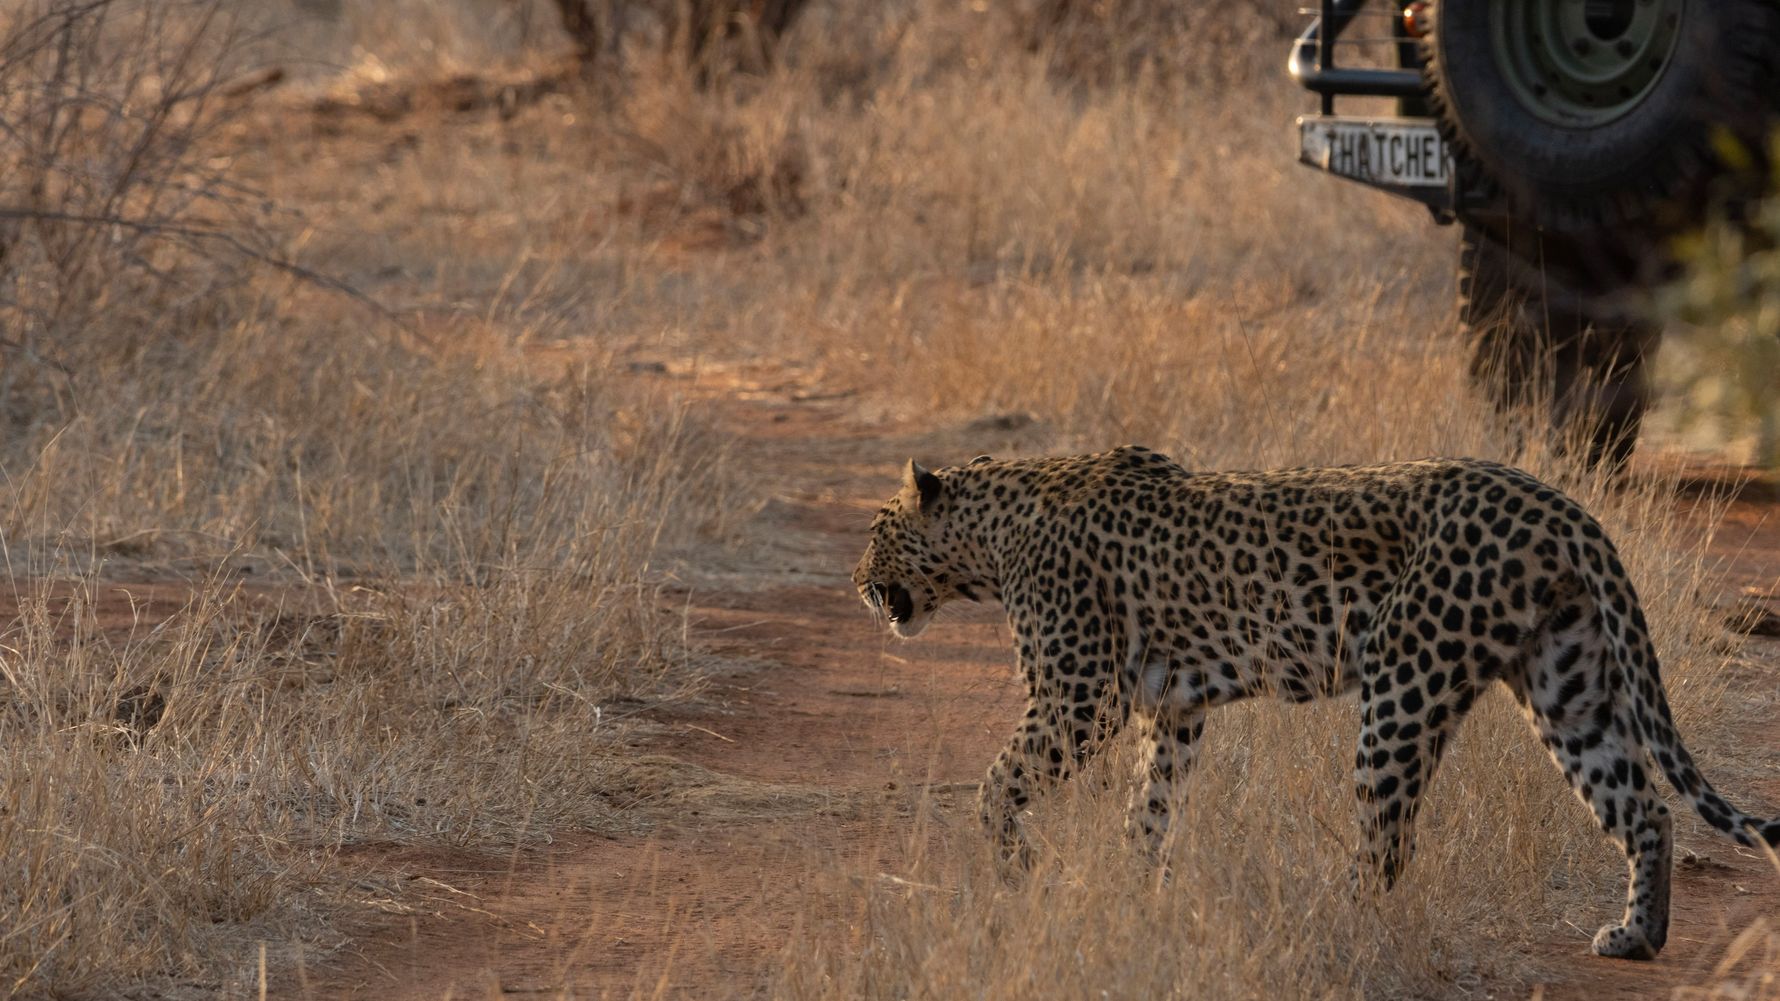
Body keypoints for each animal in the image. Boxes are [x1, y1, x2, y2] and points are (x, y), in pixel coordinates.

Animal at [851, 445, 1780, 960]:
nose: (857, 582)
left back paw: (1331, 919)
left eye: (873, 530)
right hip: (1565, 680)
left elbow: (996, 783)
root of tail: (1560, 506)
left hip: (1405, 679)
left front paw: (1017, 868)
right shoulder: (1173, 711)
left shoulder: (1081, 695)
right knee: (1645, 805)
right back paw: (1638, 937)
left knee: (1389, 838)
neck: (993, 530)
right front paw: (1136, 890)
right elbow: (1148, 808)